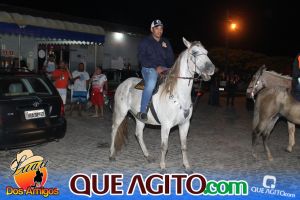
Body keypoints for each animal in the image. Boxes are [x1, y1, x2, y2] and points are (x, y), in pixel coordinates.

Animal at [109, 37, 214, 172]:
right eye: (194, 52)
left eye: (206, 52)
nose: (211, 69)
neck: (178, 94)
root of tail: (123, 83)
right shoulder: (166, 126)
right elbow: (164, 146)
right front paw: (163, 166)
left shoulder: (185, 124)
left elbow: (184, 146)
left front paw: (187, 166)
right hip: (120, 113)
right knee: (114, 129)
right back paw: (112, 155)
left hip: (140, 118)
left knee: (138, 134)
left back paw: (148, 156)